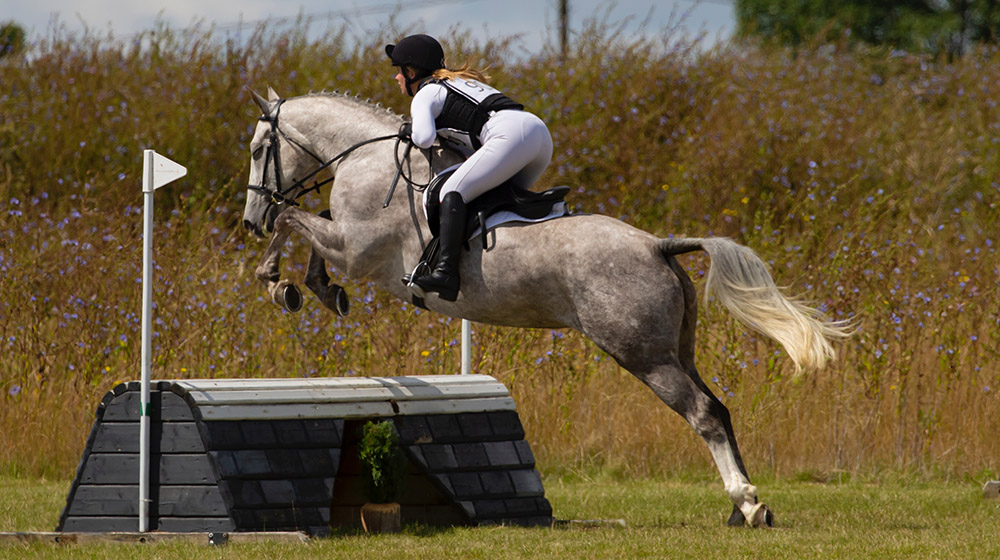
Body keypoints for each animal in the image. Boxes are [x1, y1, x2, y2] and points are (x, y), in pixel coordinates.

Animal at [240, 86, 852, 524]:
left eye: (259, 150)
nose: (250, 219)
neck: (365, 158)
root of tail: (658, 244)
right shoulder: (345, 243)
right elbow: (306, 228)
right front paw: (314, 289)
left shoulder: (356, 248)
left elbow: (295, 220)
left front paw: (278, 283)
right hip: (675, 348)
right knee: (718, 408)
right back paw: (742, 506)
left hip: (642, 354)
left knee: (701, 413)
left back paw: (747, 502)